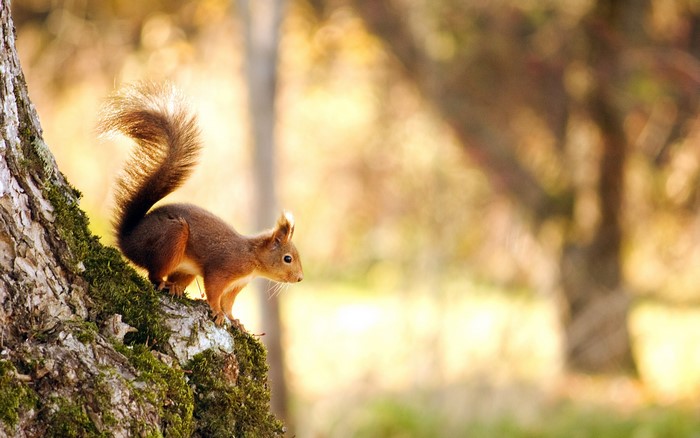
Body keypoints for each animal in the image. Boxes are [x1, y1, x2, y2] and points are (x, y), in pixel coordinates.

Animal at [99, 82, 303, 326]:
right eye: (287, 258)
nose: (300, 278)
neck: (251, 258)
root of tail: (128, 240)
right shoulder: (222, 270)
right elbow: (214, 291)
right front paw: (216, 311)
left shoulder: (236, 285)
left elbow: (229, 303)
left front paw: (234, 319)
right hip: (171, 237)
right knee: (153, 274)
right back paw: (164, 283)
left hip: (186, 268)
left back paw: (176, 287)